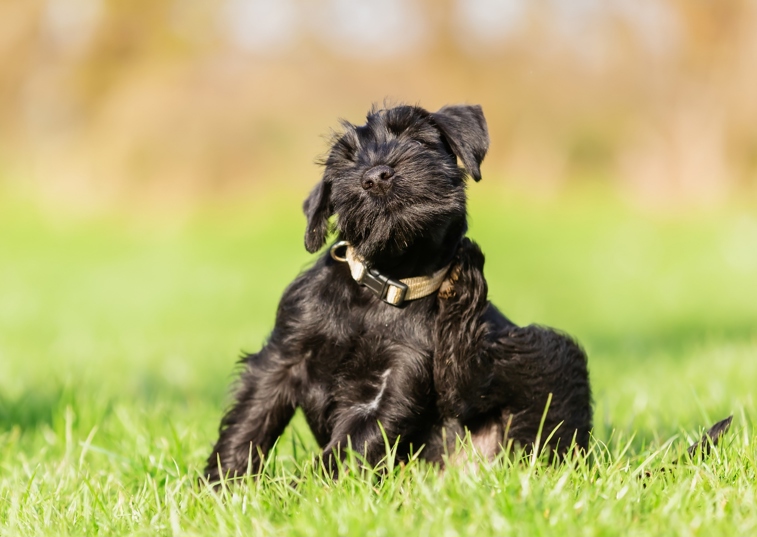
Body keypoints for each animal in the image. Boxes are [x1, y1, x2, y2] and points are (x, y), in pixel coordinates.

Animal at [204, 104, 592, 482]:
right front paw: (221, 484)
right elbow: (252, 419)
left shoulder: (399, 377)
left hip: (547, 353)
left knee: (471, 388)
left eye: (416, 137)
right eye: (345, 162)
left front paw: (305, 491)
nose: (376, 176)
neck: (387, 281)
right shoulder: (283, 356)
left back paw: (465, 287)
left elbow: (351, 445)